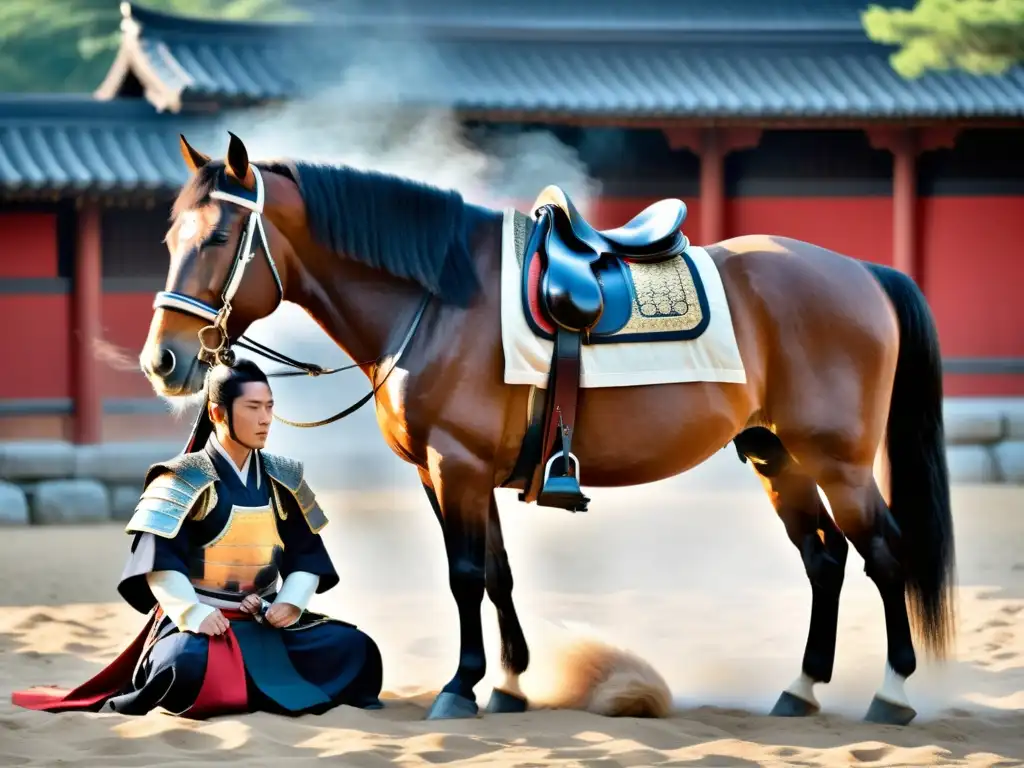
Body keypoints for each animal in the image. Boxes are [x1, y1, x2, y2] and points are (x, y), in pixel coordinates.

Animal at [140, 132, 954, 729]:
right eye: (168, 238)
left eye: (220, 238)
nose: (163, 360)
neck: (439, 300)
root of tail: (862, 272)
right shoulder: (450, 473)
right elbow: (497, 574)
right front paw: (507, 685)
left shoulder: (457, 467)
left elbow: (465, 575)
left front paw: (461, 688)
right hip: (776, 456)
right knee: (825, 561)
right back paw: (801, 689)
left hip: (839, 462)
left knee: (885, 556)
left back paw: (892, 695)